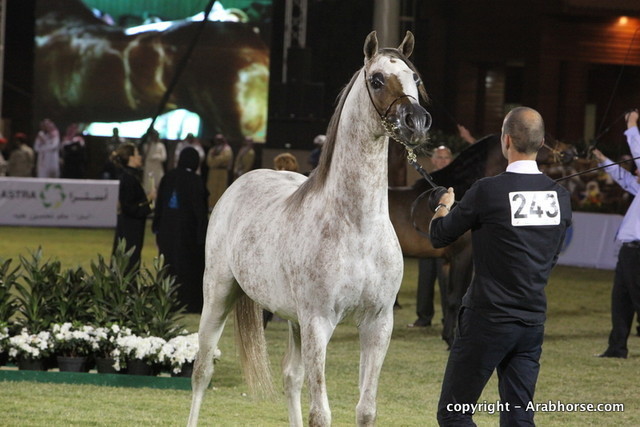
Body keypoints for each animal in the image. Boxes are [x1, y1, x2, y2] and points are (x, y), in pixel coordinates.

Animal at [187, 31, 431, 426]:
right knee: (202, 370)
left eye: (415, 78)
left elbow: (365, 409)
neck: (357, 228)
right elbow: (321, 413)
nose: (418, 123)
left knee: (291, 377)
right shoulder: (319, 322)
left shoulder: (378, 323)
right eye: (377, 79)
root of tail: (243, 181)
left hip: (293, 320)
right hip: (218, 295)